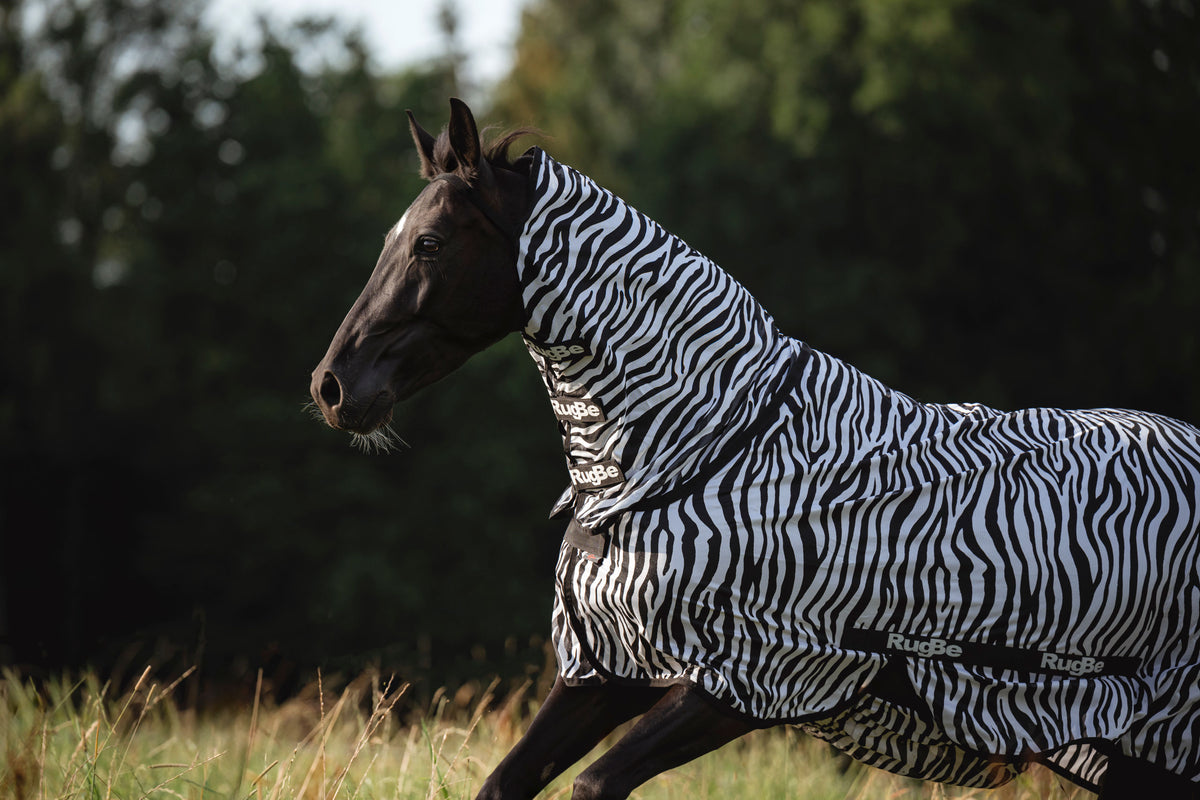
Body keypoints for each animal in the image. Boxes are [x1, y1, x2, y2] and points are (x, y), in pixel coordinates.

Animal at [311, 99, 1200, 799]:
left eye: (430, 244)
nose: (332, 387)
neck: (702, 451)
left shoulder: (754, 679)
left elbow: (595, 784)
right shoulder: (609, 669)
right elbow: (507, 781)